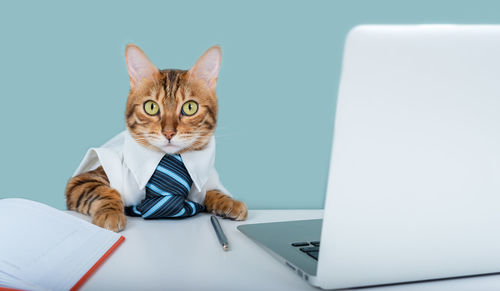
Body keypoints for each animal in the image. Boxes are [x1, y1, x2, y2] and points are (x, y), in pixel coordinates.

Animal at [64, 44, 248, 233]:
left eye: (190, 107)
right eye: (151, 107)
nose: (168, 133)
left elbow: (210, 191)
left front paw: (227, 200)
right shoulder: (82, 180)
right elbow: (104, 192)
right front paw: (110, 212)